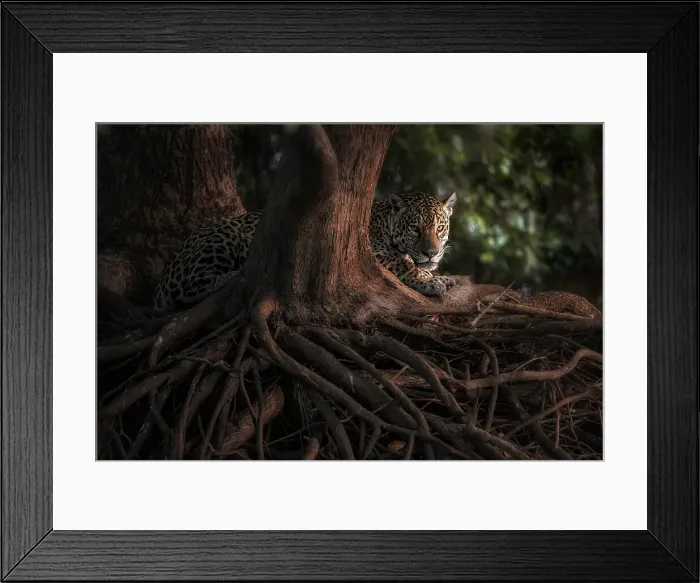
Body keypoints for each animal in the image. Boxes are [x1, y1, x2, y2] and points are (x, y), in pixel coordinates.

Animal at [153, 190, 458, 312]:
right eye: (415, 229)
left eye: (439, 228)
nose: (432, 253)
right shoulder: (370, 253)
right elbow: (404, 261)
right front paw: (429, 281)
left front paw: (441, 277)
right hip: (222, 238)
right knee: (190, 291)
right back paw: (232, 276)